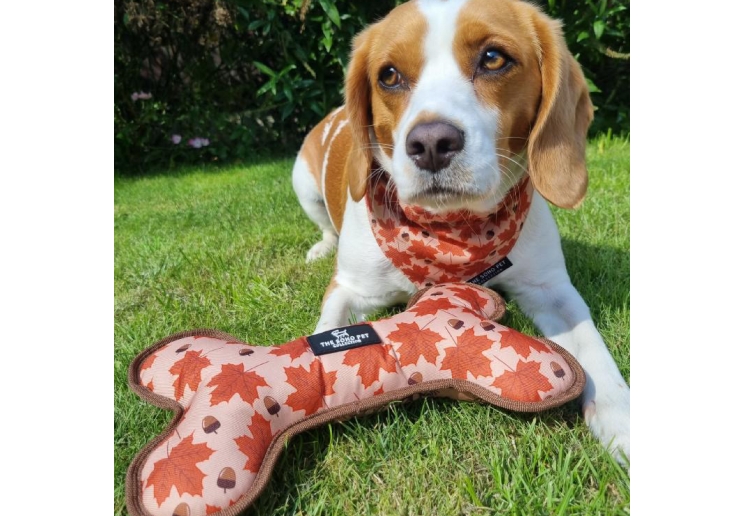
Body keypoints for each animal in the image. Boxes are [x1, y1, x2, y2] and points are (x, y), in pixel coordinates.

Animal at [290, 0, 628, 462]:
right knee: (324, 225)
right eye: (389, 75)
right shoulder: (349, 289)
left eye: (493, 58)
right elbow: (326, 334)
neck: (450, 228)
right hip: (303, 183)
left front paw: (623, 418)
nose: (431, 143)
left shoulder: (550, 288)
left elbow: (593, 346)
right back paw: (321, 246)